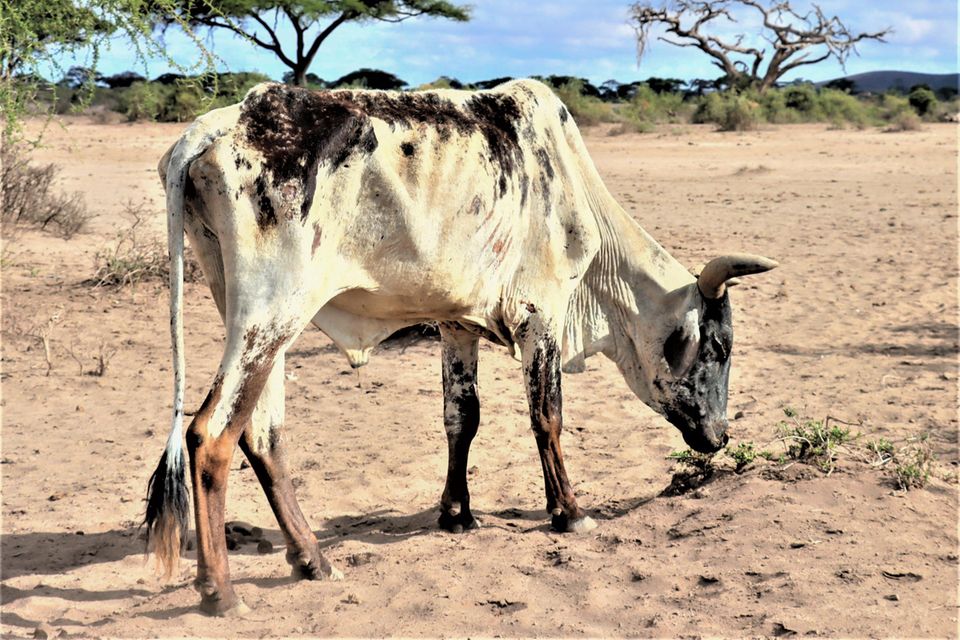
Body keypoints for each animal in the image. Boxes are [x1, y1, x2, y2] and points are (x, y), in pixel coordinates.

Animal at [148, 80, 780, 616]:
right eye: (719, 347)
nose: (720, 437)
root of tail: (219, 125)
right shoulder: (540, 316)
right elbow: (547, 417)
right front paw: (569, 513)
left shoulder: (457, 326)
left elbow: (462, 419)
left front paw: (456, 514)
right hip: (272, 312)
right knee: (210, 434)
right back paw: (221, 591)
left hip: (249, 311)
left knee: (262, 434)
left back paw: (313, 560)